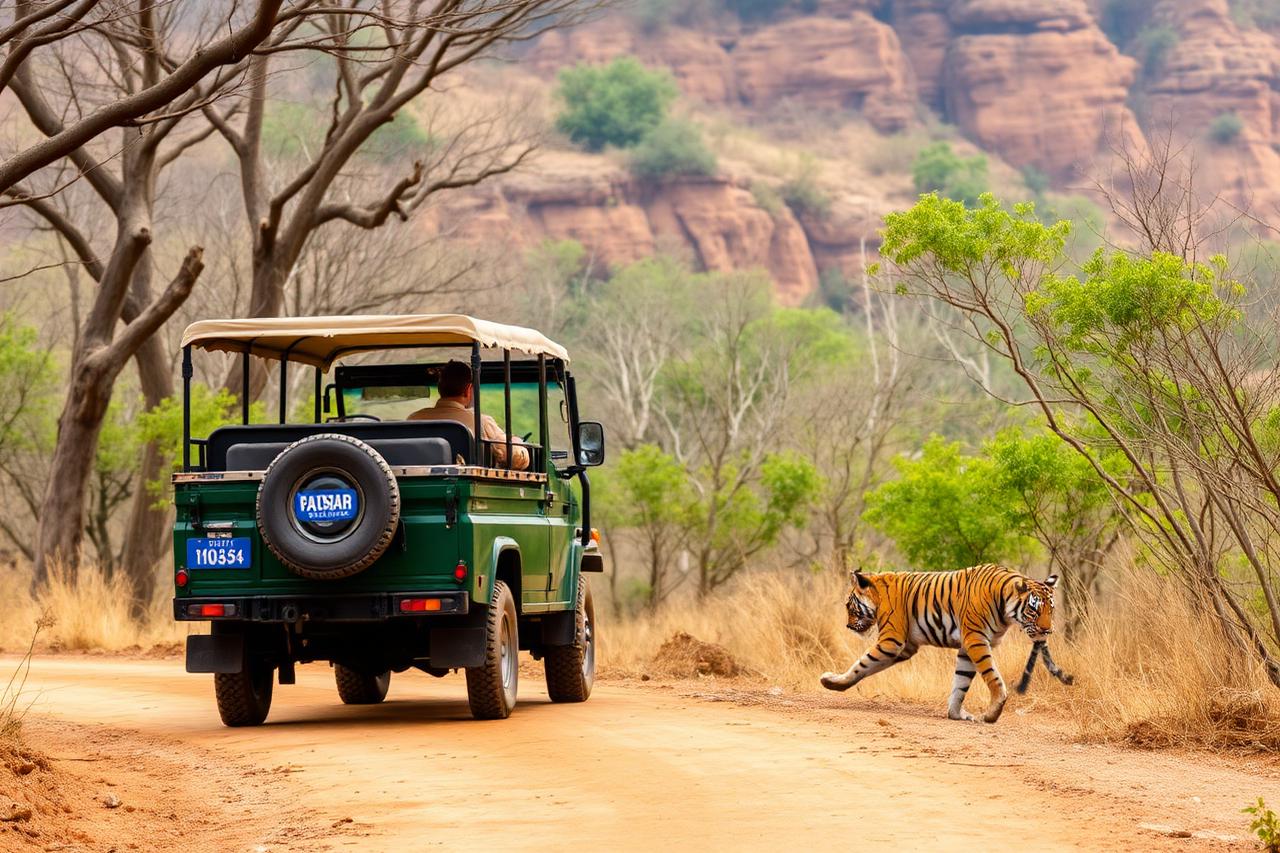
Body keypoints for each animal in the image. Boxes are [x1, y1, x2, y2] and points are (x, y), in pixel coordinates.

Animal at [818, 564, 1071, 723]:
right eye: (1034, 610)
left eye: (1050, 610)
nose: (1048, 630)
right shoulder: (972, 640)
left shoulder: (897, 643)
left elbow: (969, 680)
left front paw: (974, 714)